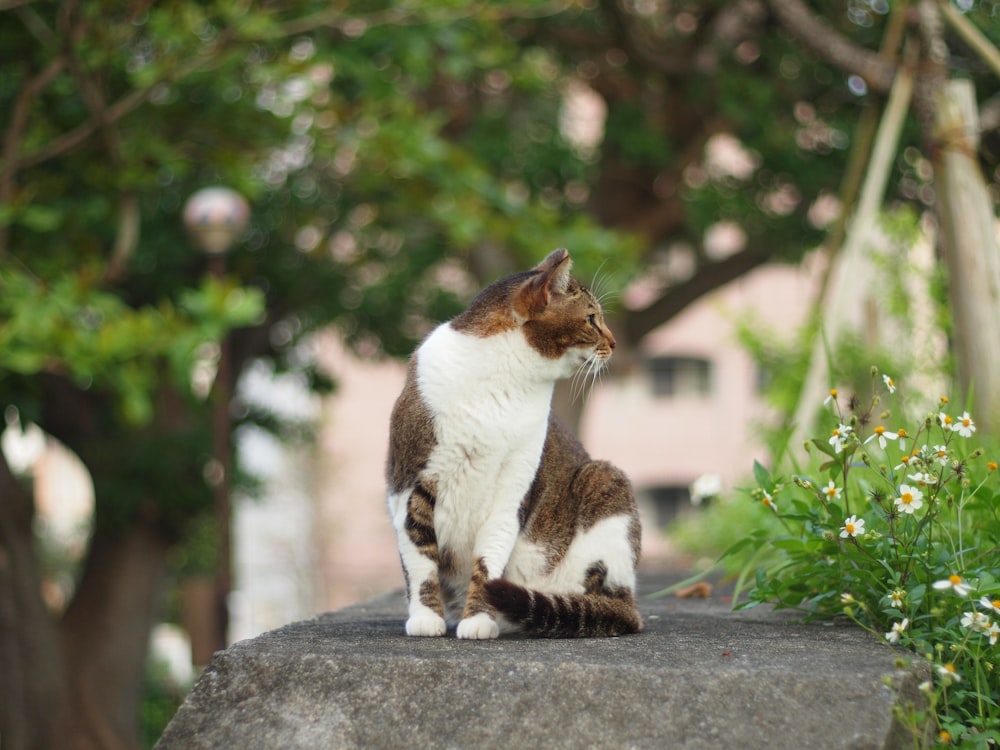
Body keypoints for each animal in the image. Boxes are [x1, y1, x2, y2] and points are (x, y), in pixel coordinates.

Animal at [382, 247, 640, 640]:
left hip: (604, 478)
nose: (614, 343)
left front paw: (478, 618)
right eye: (592, 318)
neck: (506, 378)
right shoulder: (409, 483)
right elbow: (419, 555)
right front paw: (426, 618)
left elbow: (489, 557)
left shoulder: (512, 488)